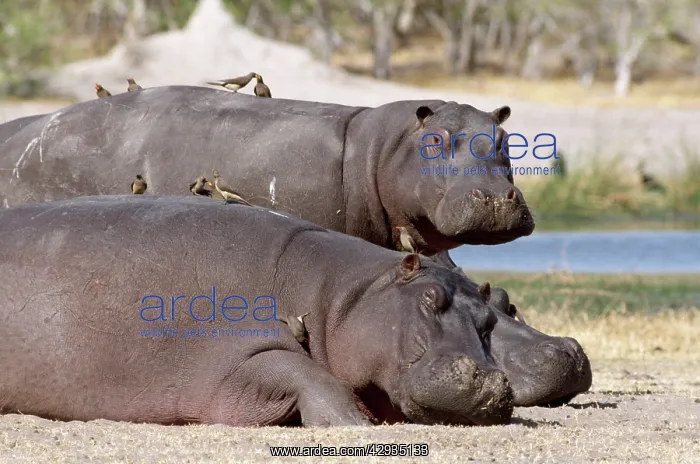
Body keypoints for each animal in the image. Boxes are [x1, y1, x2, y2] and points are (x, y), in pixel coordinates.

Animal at [0, 195, 513, 427]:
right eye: (430, 298)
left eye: (492, 319)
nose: (490, 381)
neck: (339, 296)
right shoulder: (237, 358)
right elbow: (311, 375)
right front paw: (353, 425)